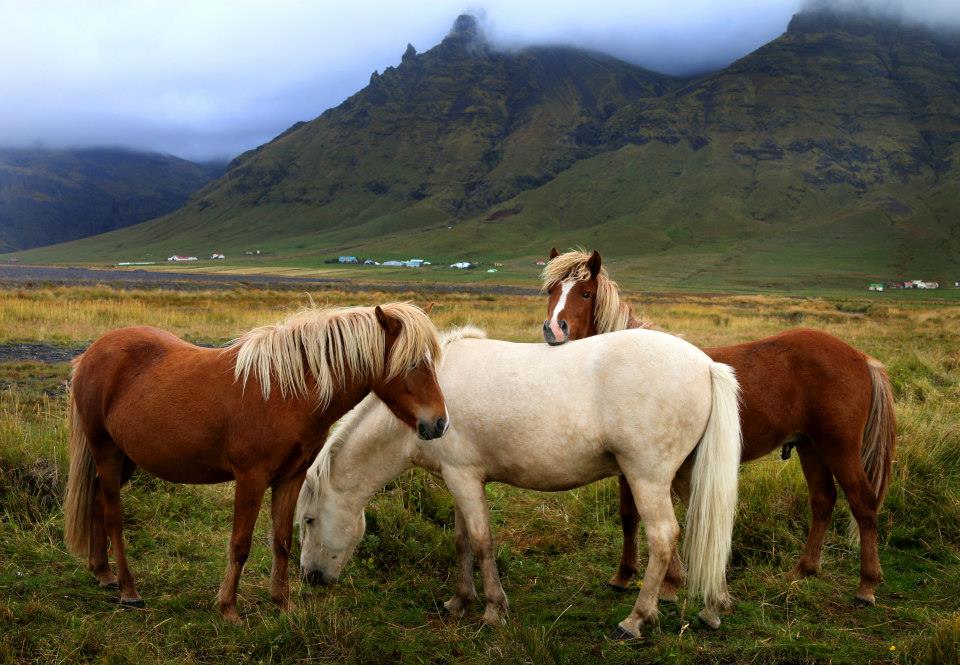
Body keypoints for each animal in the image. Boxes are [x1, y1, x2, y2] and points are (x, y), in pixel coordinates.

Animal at [63, 302, 448, 623]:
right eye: (412, 364)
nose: (439, 423)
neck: (286, 391)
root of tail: (92, 353)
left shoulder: (290, 477)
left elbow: (282, 541)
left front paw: (283, 603)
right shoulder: (251, 478)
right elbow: (240, 543)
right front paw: (228, 609)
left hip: (126, 458)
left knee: (96, 501)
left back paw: (103, 573)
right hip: (107, 452)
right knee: (113, 515)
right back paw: (129, 590)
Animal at [296, 326, 743, 637]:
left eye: (309, 520)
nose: (310, 578)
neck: (423, 404)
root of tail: (705, 365)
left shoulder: (463, 477)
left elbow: (481, 542)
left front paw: (494, 610)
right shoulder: (457, 480)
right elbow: (462, 541)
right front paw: (460, 601)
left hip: (646, 478)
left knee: (664, 537)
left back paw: (635, 619)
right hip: (685, 475)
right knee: (711, 528)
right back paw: (713, 607)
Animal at [541, 248, 896, 606]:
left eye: (586, 293)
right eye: (551, 291)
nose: (554, 330)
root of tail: (861, 357)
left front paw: (667, 582)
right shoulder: (631, 466)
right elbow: (629, 516)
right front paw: (626, 576)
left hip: (839, 446)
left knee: (863, 503)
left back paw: (866, 585)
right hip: (810, 446)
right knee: (823, 500)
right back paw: (802, 571)